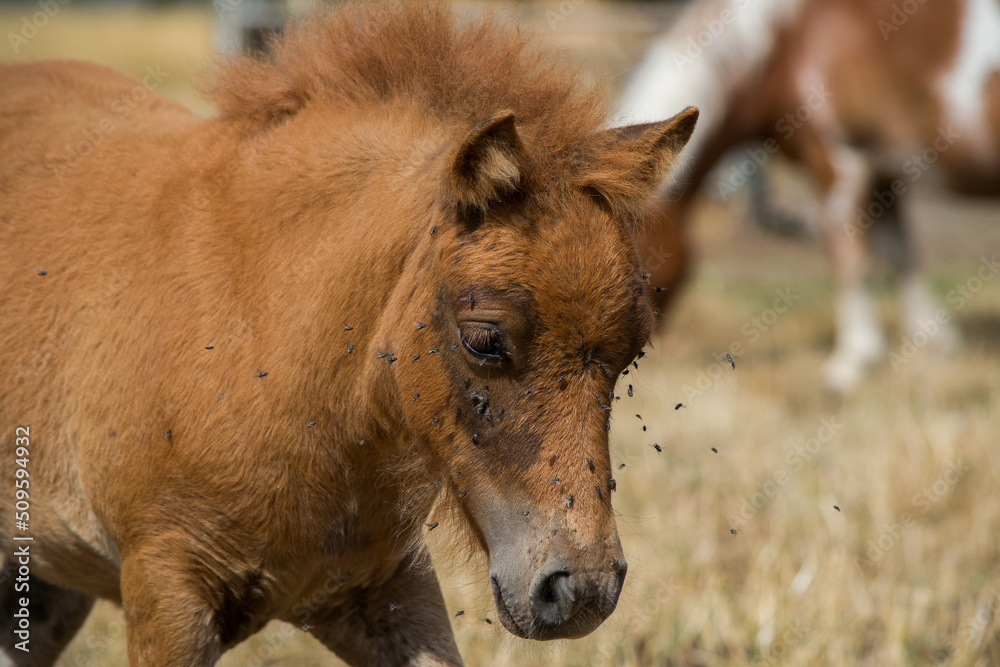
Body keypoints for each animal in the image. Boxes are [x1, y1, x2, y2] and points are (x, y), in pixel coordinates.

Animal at [616, 0, 1000, 392]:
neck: (790, 43)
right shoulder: (883, 173)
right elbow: (901, 254)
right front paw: (934, 341)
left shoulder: (837, 162)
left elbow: (851, 259)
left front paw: (851, 361)